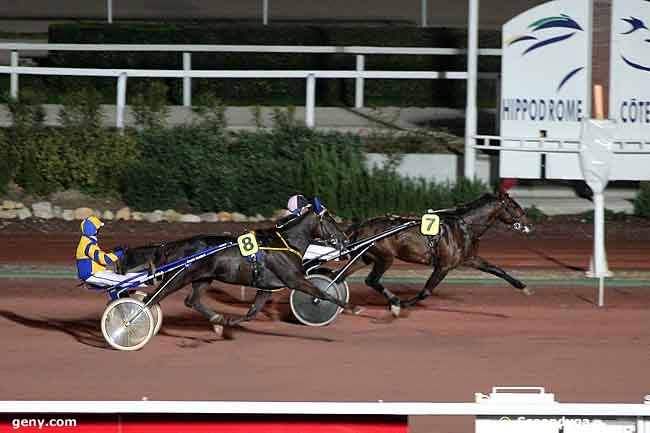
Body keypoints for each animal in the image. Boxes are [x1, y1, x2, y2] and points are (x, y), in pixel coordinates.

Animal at [119, 198, 356, 334]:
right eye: (330, 220)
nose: (345, 239)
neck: (286, 242)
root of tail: (172, 245)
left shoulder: (266, 287)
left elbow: (252, 312)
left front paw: (229, 322)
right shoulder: (295, 280)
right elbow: (323, 293)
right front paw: (351, 307)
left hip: (203, 278)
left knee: (191, 300)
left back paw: (216, 320)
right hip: (178, 277)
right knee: (151, 300)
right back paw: (130, 321)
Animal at [336, 187, 528, 316]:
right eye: (514, 206)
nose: (529, 223)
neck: (464, 226)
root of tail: (362, 225)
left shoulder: (470, 258)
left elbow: (497, 270)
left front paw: (523, 287)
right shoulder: (443, 266)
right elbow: (426, 292)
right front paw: (404, 303)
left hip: (365, 257)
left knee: (340, 276)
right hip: (385, 257)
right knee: (371, 280)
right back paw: (394, 302)